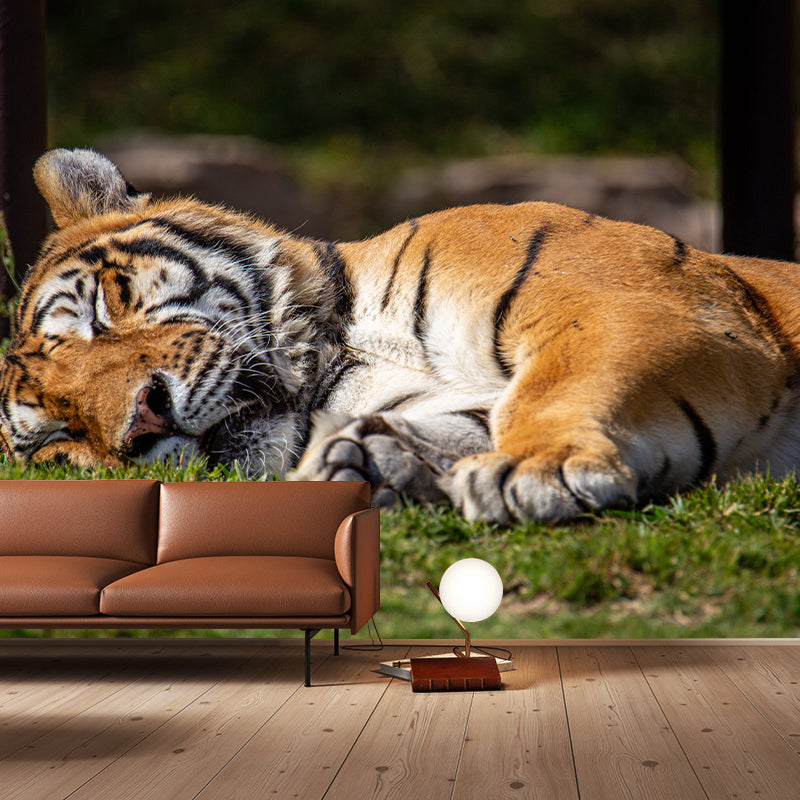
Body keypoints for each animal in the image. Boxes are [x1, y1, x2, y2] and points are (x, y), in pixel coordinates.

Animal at [1, 146, 800, 524]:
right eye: (59, 439)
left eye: (104, 312)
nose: (143, 421)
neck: (341, 359)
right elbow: (468, 418)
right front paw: (373, 463)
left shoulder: (624, 301)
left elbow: (563, 383)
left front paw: (532, 469)